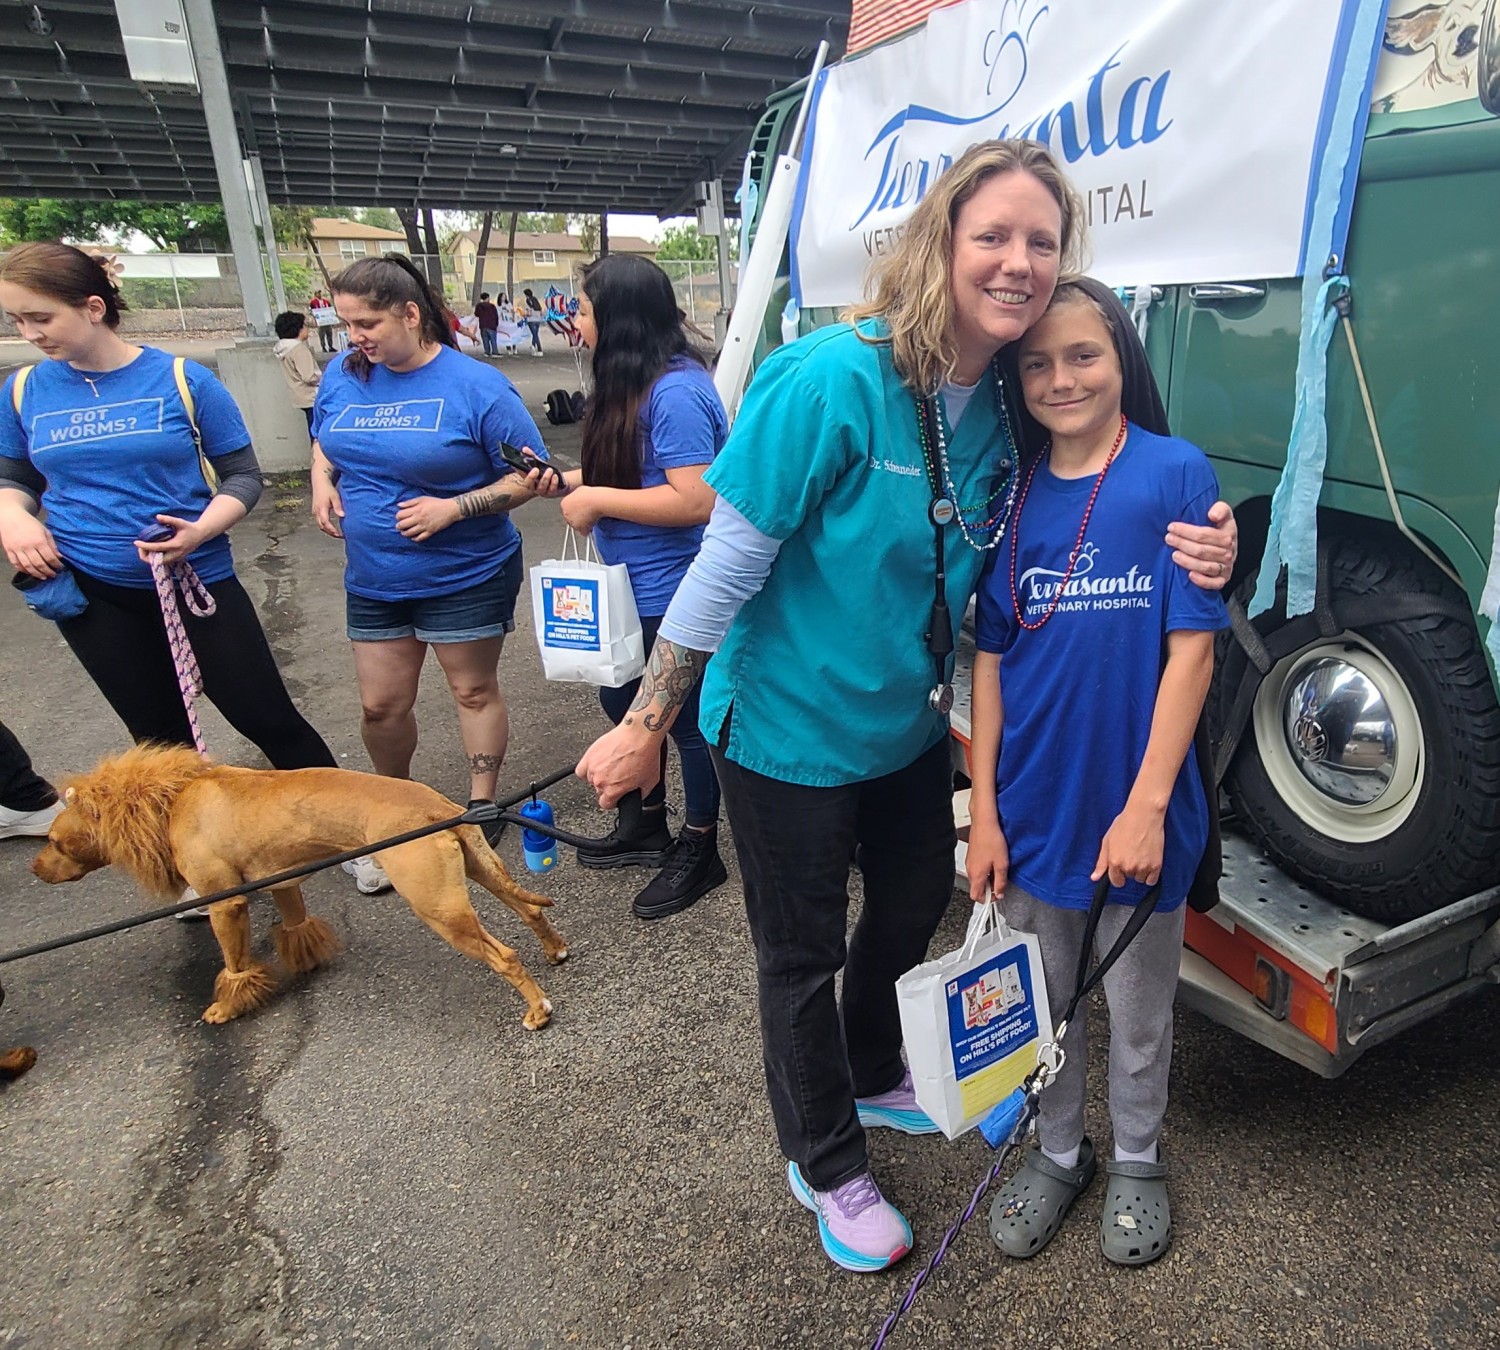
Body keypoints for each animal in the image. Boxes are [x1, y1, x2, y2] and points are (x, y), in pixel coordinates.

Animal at [35, 744, 573, 1026]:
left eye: (55, 840)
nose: (35, 870)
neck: (174, 797)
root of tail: (436, 807)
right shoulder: (281, 883)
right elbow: (295, 926)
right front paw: (305, 958)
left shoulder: (227, 905)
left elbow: (234, 963)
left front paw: (227, 1005)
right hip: (480, 873)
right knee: (530, 910)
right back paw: (554, 951)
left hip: (438, 909)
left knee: (504, 956)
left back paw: (537, 1009)